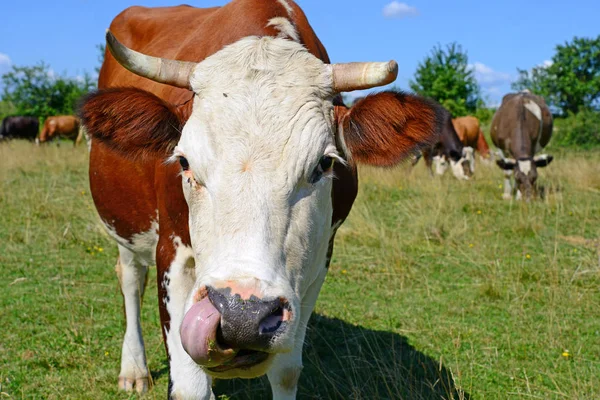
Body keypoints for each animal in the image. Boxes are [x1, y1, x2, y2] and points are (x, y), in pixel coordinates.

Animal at [78, 1, 446, 398]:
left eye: (324, 163)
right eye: (184, 162)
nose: (242, 316)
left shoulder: (318, 261)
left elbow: (286, 371)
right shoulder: (171, 253)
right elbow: (190, 386)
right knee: (131, 279)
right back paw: (134, 368)